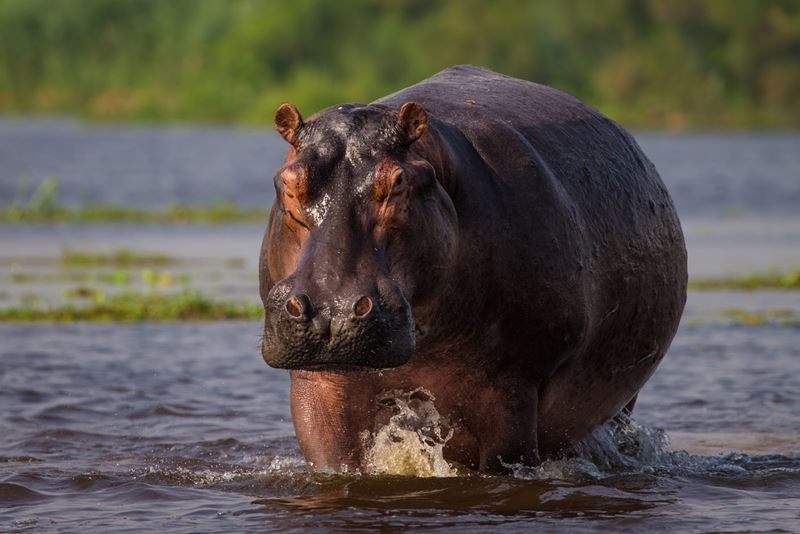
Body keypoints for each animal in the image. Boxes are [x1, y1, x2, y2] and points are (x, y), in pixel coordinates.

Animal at [259, 65, 687, 473]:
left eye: (398, 182)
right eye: (286, 181)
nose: (331, 312)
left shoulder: (513, 386)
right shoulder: (316, 384)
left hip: (621, 402)